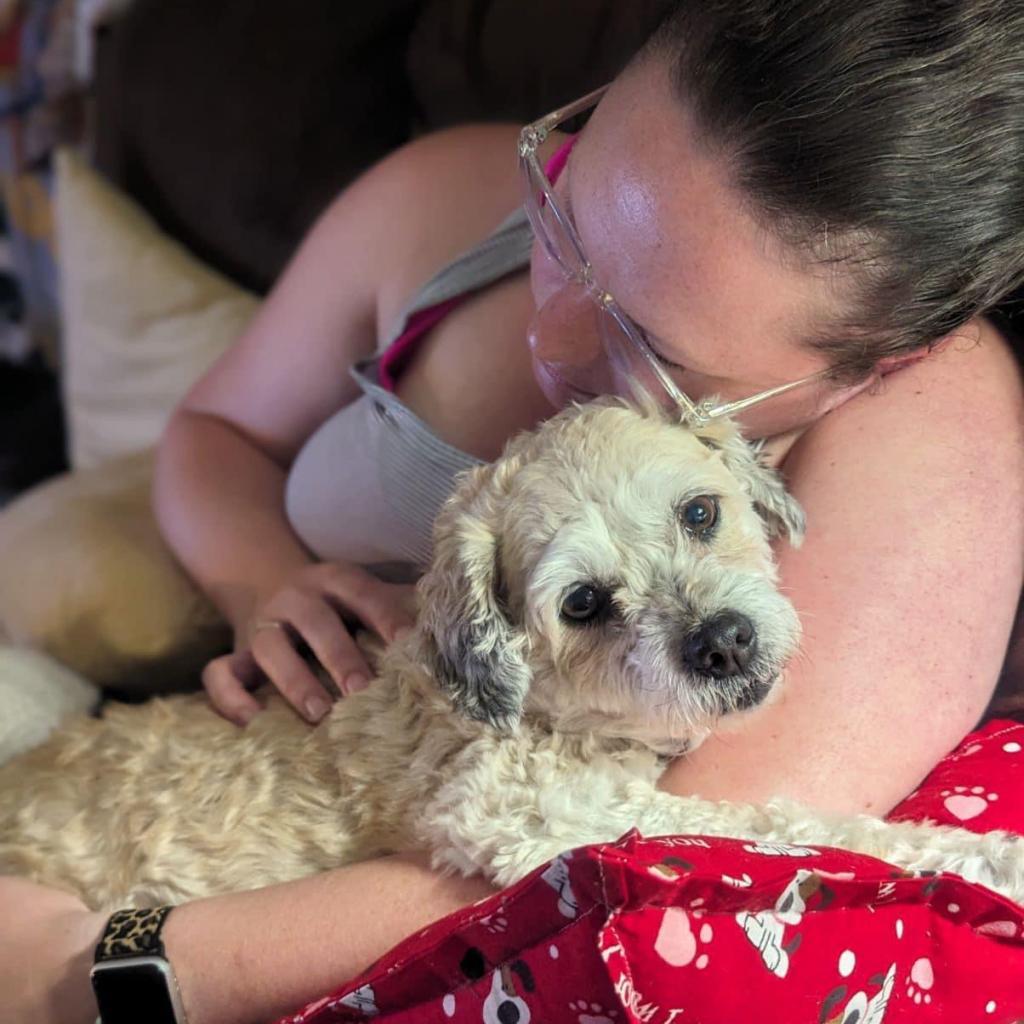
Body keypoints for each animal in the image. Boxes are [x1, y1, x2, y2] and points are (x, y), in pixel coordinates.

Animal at [2, 399, 1024, 913]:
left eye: (701, 511)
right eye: (584, 603)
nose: (724, 640)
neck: (541, 711)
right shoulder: (528, 817)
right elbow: (776, 827)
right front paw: (970, 854)